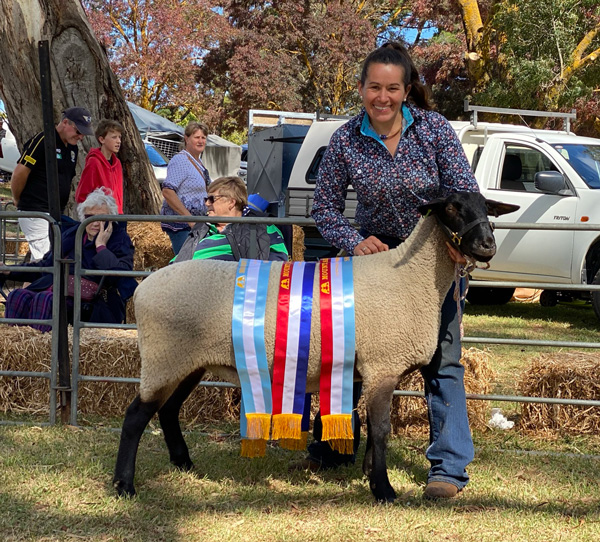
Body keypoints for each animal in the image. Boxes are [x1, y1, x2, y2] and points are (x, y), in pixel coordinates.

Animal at [115, 192, 516, 506]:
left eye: (487, 208)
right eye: (450, 207)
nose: (487, 245)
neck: (409, 276)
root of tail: (144, 287)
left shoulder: (370, 369)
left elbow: (372, 426)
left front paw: (369, 473)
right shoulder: (383, 364)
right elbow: (382, 428)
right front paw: (383, 489)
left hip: (187, 361)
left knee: (168, 412)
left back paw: (184, 463)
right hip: (163, 358)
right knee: (136, 416)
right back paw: (124, 486)